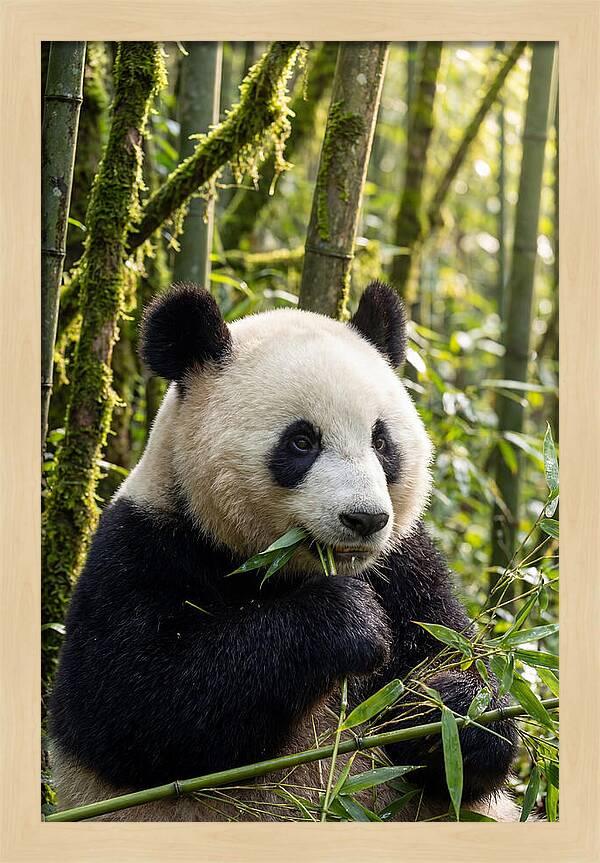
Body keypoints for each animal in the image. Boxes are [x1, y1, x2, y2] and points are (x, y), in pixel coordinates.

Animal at [49, 280, 518, 821]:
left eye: (381, 442)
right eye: (301, 442)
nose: (364, 519)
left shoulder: (406, 565)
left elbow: (457, 677)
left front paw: (450, 709)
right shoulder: (142, 548)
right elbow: (137, 705)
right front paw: (349, 621)